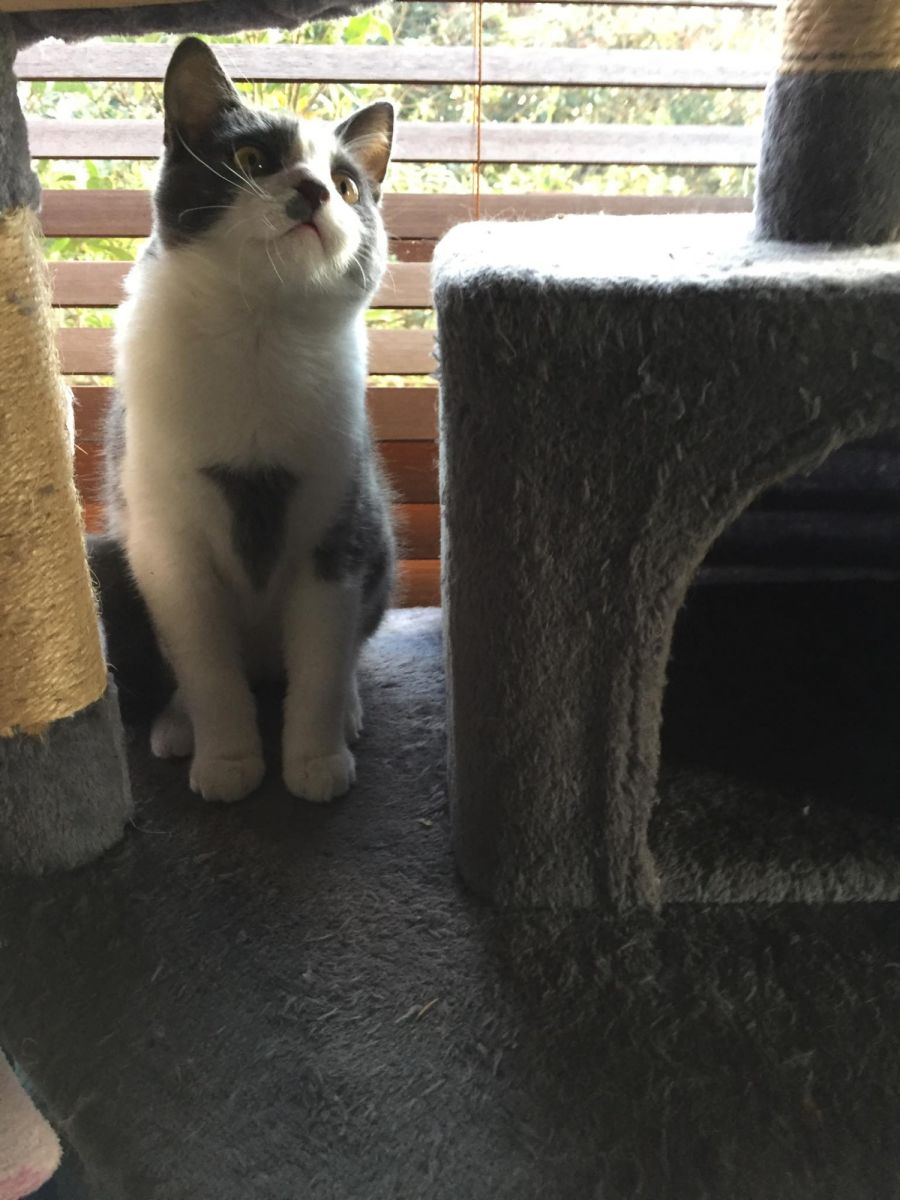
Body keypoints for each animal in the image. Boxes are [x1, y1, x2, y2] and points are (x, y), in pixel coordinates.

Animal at [105, 36, 396, 805]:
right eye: (252, 159)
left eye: (349, 186)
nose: (315, 191)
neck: (258, 333)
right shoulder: (168, 546)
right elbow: (207, 666)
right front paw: (228, 764)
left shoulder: (339, 528)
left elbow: (322, 660)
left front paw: (316, 764)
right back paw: (178, 726)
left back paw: (347, 711)